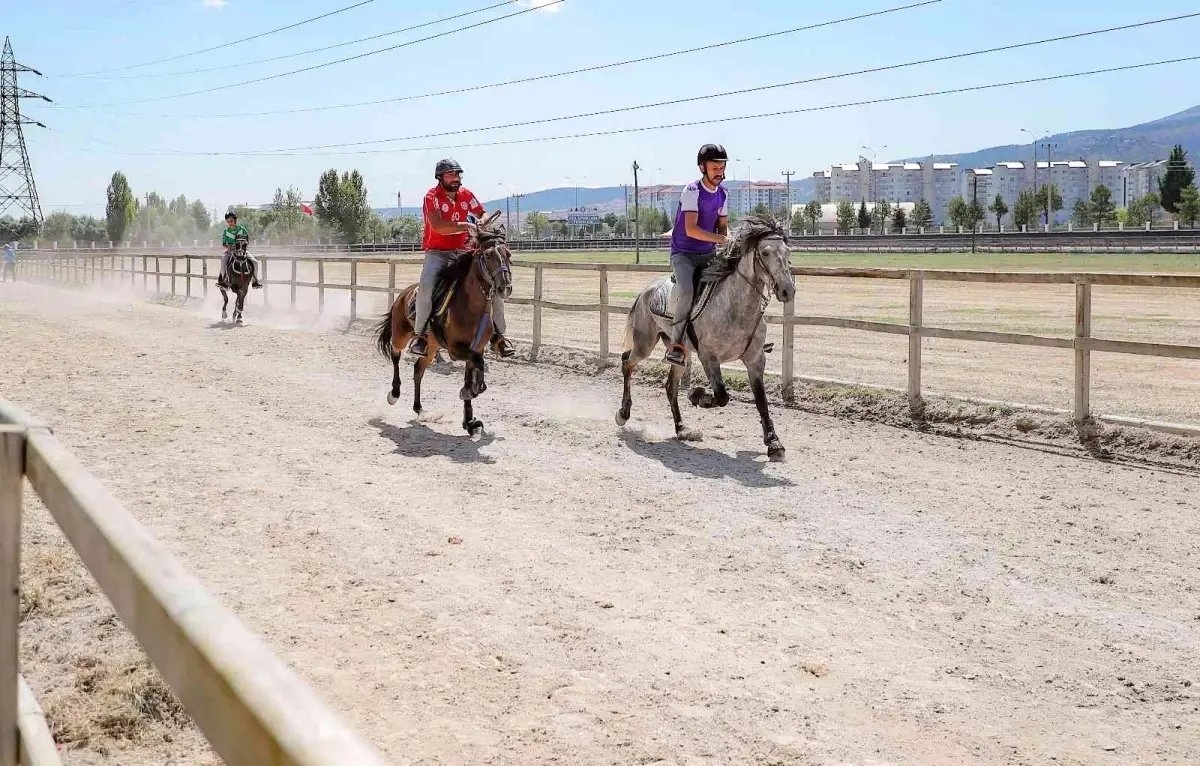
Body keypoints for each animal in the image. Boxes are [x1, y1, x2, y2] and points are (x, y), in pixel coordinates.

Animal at [369, 210, 511, 437]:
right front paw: (473, 390)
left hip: (432, 347)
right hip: (401, 335)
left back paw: (419, 408)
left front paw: (469, 420)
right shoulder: (455, 348)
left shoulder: (476, 347)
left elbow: (472, 370)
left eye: (508, 254)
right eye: (488, 255)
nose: (505, 287)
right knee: (395, 354)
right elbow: (478, 366)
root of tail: (403, 294)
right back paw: (394, 393)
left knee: (418, 369)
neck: (471, 306)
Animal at [619, 213, 796, 458]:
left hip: (679, 353)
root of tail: (646, 290)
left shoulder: (755, 359)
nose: (788, 290)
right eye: (765, 253)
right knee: (627, 361)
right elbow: (722, 396)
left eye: (787, 252)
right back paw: (623, 414)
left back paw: (682, 429)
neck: (734, 308)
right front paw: (698, 396)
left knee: (670, 387)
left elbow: (761, 399)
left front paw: (773, 442)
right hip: (644, 343)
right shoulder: (709, 357)